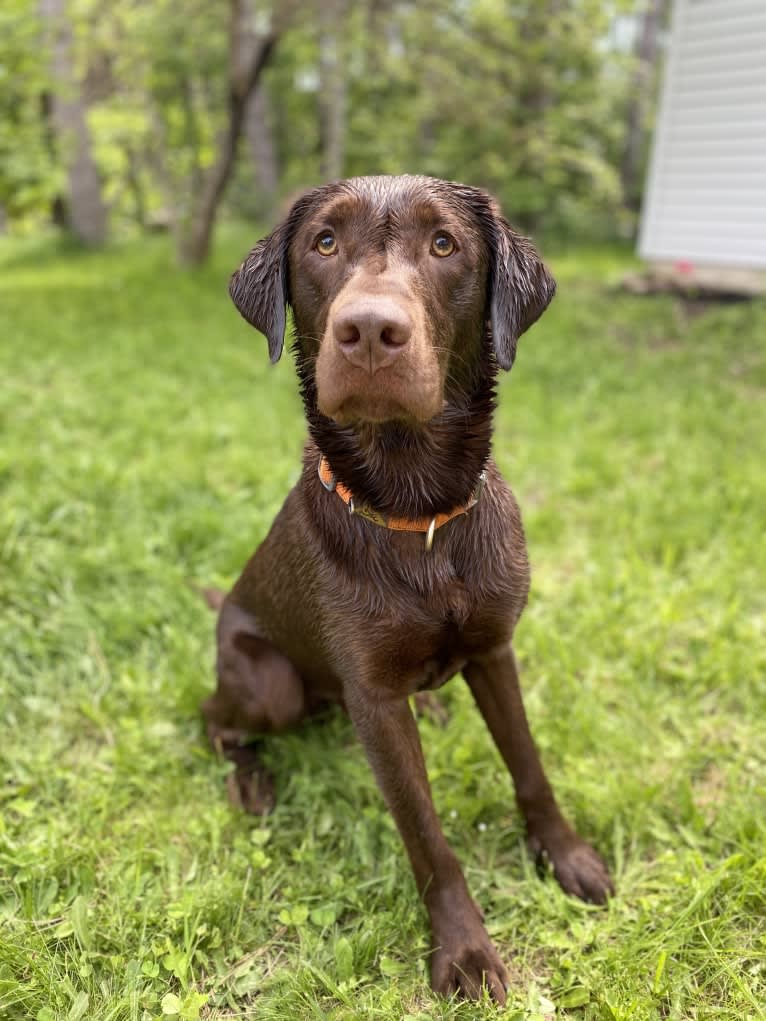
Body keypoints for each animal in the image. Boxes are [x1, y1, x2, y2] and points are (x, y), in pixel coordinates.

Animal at [201, 177, 616, 1004]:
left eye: (444, 243)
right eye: (324, 242)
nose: (368, 330)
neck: (418, 515)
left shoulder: (494, 649)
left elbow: (531, 766)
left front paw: (568, 857)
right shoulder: (375, 699)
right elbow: (428, 838)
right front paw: (465, 950)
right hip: (270, 685)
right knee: (213, 718)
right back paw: (251, 781)